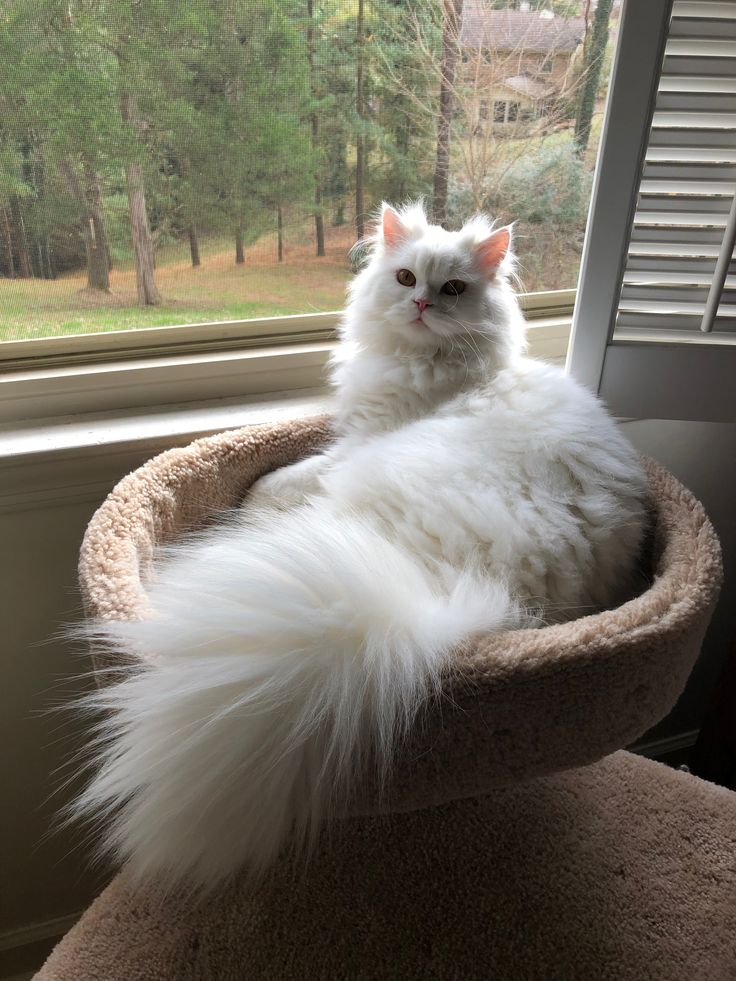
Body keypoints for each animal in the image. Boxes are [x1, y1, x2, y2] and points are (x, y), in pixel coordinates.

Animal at [77, 203, 648, 892]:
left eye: (452, 288)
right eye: (405, 278)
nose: (422, 304)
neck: (426, 365)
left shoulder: (353, 445)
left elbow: (278, 478)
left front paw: (243, 497)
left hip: (363, 487)